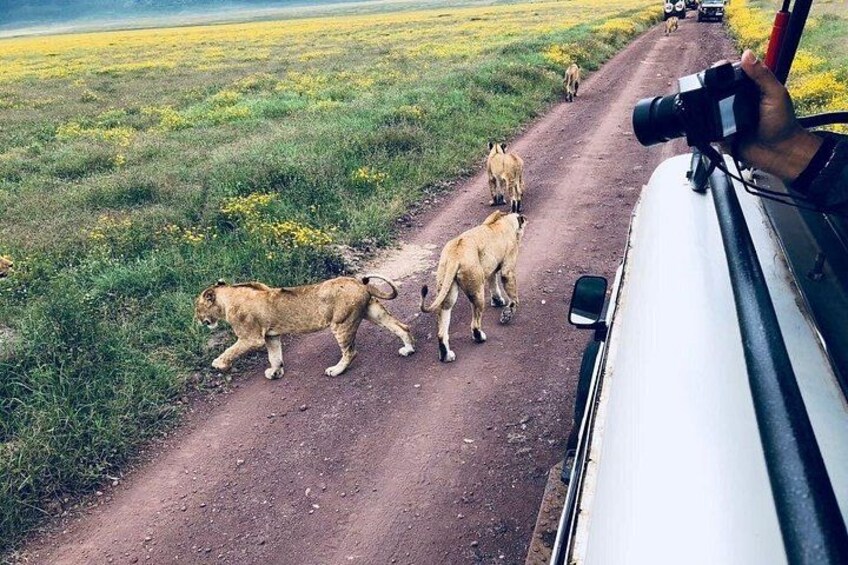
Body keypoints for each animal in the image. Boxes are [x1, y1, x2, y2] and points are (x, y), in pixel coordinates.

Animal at [195, 275, 415, 379]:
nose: (196, 320)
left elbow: (231, 350)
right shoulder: (271, 336)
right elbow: (275, 356)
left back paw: (335, 371)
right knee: (401, 327)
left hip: (341, 323)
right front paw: (275, 373)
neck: (228, 296)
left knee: (351, 352)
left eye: (197, 307)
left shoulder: (252, 338)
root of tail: (359, 283)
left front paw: (219, 363)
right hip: (372, 311)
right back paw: (408, 349)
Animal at [420, 211, 526, 363]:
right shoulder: (508, 268)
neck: (502, 221)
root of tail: (455, 255)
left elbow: (493, 283)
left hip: (447, 290)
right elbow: (513, 294)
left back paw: (446, 355)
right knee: (475, 324)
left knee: (441, 330)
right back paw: (480, 337)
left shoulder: (491, 268)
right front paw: (508, 313)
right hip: (477, 290)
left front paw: (498, 301)